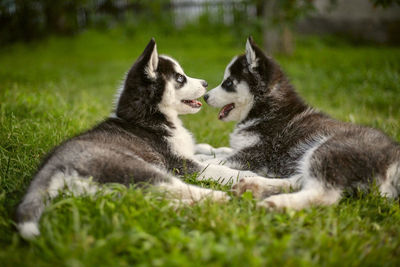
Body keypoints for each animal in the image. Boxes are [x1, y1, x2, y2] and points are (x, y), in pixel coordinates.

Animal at [15, 38, 260, 240]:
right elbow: (216, 168)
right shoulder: (179, 163)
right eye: (180, 78)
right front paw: (247, 173)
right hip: (139, 168)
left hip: (114, 191)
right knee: (179, 186)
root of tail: (55, 162)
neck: (148, 117)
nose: (205, 83)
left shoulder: (184, 151)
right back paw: (220, 198)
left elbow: (206, 151)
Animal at [197, 36, 400, 211]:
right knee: (298, 181)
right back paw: (254, 186)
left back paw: (277, 203)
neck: (264, 109)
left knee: (323, 194)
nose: (205, 97)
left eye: (228, 82)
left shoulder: (257, 155)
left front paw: (199, 158)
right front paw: (202, 149)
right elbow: (222, 151)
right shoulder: (246, 148)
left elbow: (221, 158)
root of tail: (394, 157)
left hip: (329, 150)